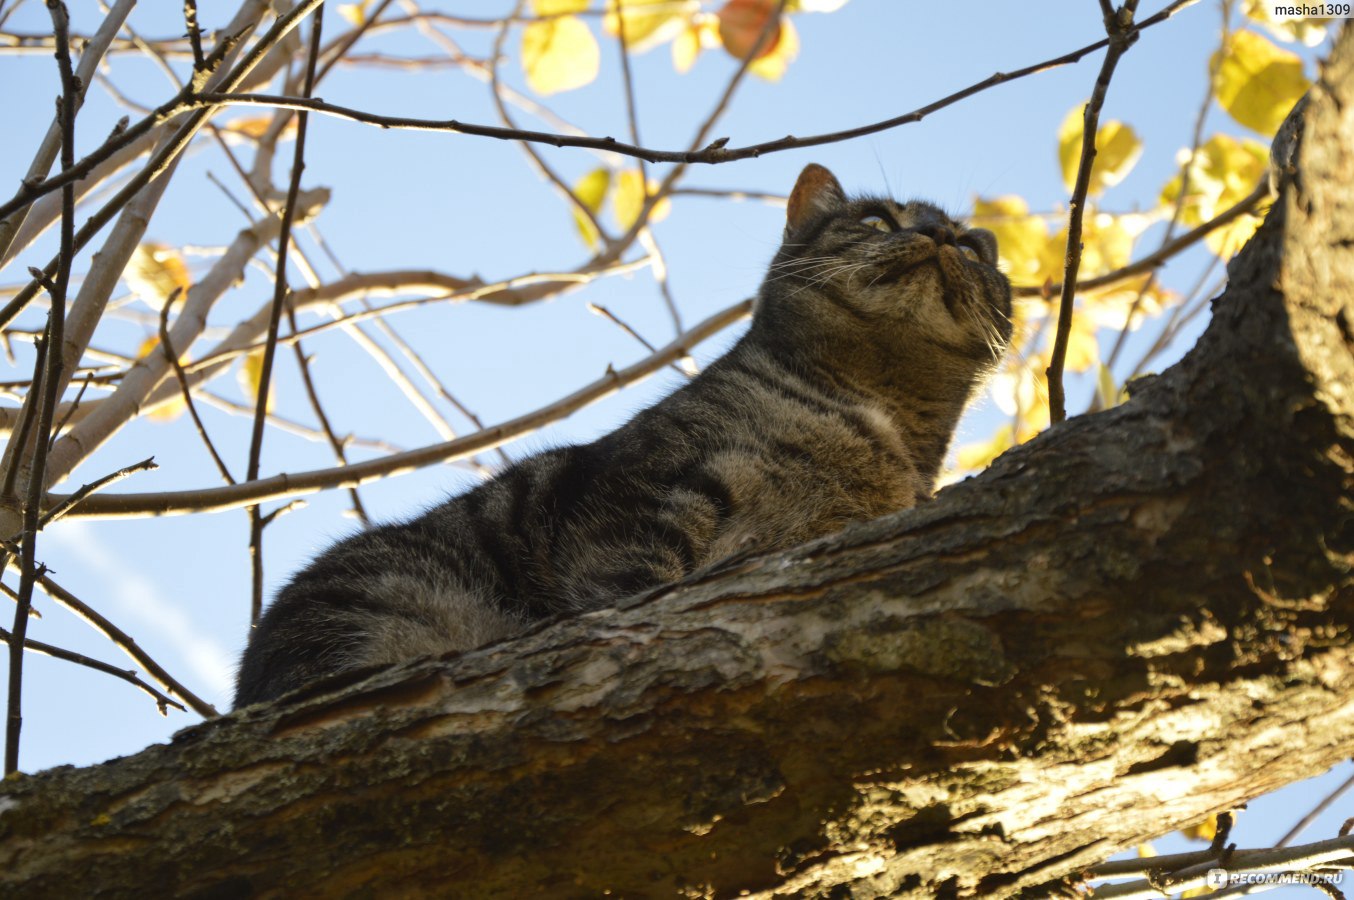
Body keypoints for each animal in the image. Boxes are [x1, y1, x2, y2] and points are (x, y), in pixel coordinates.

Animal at [235, 165, 1018, 703]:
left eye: (974, 249)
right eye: (879, 220)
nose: (938, 236)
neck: (874, 411)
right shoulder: (648, 488)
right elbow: (632, 586)